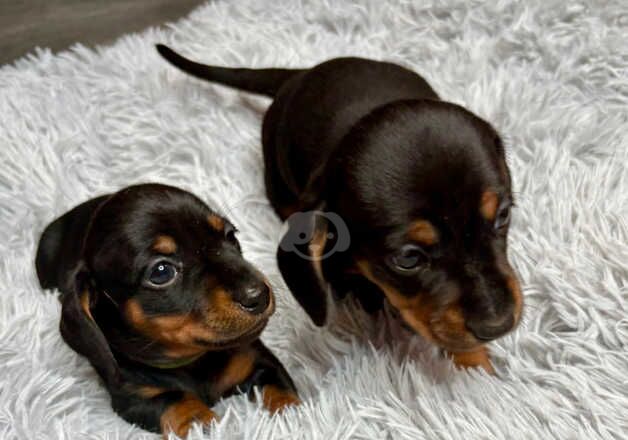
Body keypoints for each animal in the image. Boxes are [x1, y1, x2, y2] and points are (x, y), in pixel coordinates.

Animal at [34, 183, 300, 436]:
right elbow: (176, 399)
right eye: (161, 272)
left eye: (230, 236)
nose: (259, 295)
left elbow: (280, 390)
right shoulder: (133, 396)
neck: (193, 362)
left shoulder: (259, 361)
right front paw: (202, 423)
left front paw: (291, 416)